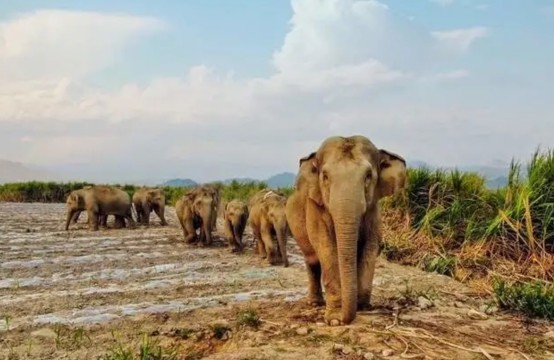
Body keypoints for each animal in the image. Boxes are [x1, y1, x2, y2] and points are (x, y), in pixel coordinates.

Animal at [284, 135, 406, 326]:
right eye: (325, 176)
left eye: (368, 175)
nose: (344, 318)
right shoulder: (316, 206)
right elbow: (326, 248)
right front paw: (334, 319)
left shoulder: (374, 210)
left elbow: (370, 247)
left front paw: (362, 307)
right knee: (312, 260)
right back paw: (315, 303)